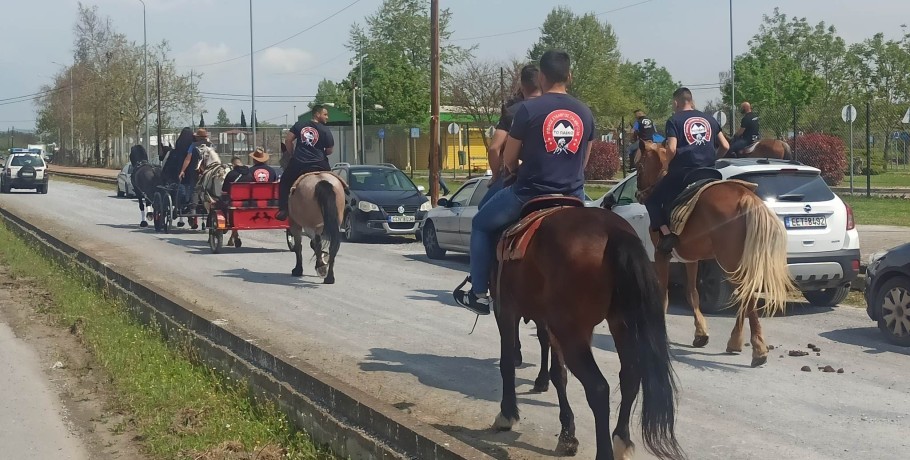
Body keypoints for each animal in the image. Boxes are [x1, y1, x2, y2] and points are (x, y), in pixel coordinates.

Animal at [492, 208, 684, 460]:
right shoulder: (550, 324)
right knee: (630, 377)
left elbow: (507, 363)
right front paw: (567, 434)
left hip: (571, 332)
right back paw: (621, 439)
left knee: (598, 388)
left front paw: (507, 414)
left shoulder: (505, 309)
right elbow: (558, 373)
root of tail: (614, 231)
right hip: (619, 325)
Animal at [636, 142, 796, 368]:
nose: (639, 195)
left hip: (729, 262)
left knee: (747, 297)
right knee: (744, 297)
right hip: (737, 263)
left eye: (639, 166)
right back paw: (738, 342)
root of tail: (746, 197)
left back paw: (757, 348)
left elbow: (663, 294)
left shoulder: (661, 254)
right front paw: (700, 333)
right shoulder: (691, 258)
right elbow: (692, 293)